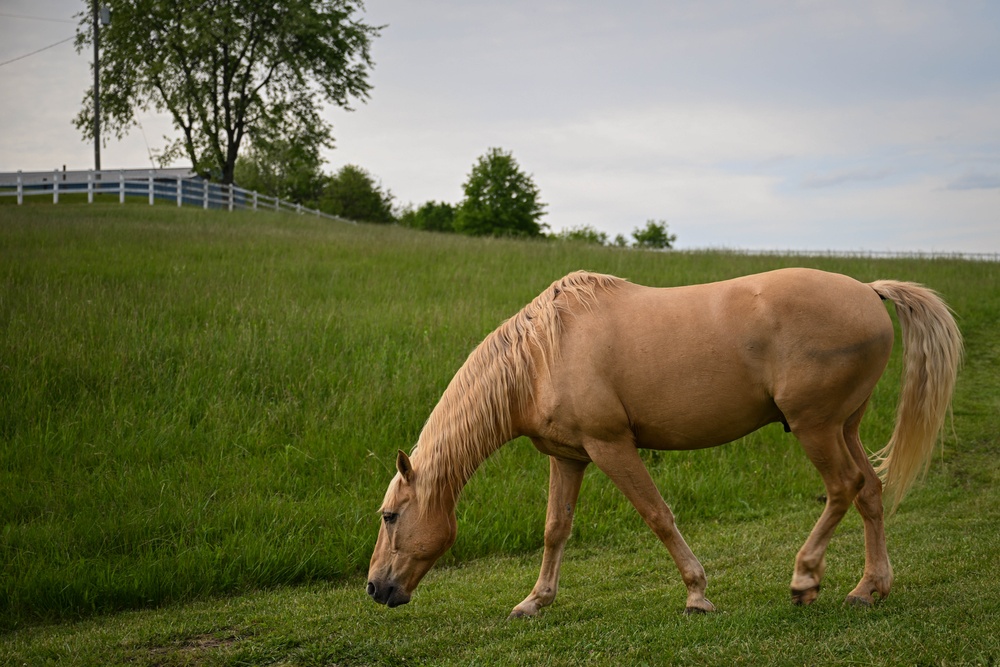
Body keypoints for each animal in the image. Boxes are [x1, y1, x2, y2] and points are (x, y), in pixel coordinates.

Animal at [366, 266, 960, 616]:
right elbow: (556, 530)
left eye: (390, 517)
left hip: (815, 428)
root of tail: (867, 290)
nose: (375, 589)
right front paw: (535, 600)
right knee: (871, 493)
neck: (542, 355)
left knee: (843, 487)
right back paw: (869, 588)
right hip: (844, 426)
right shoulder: (569, 458)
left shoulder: (611, 447)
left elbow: (657, 515)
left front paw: (697, 593)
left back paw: (804, 578)